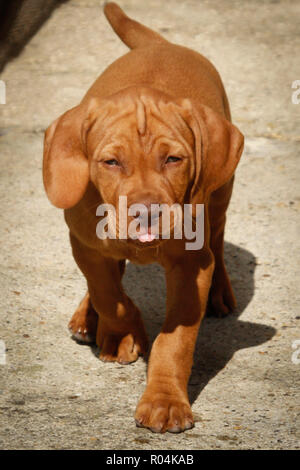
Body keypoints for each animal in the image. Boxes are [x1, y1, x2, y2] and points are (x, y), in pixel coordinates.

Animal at [42, 2, 244, 434]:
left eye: (173, 159)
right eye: (111, 162)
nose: (147, 214)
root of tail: (162, 44)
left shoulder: (191, 265)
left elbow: (176, 340)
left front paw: (165, 401)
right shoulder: (84, 243)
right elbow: (109, 294)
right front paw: (123, 334)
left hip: (219, 196)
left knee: (218, 241)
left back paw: (220, 291)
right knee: (107, 276)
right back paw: (88, 317)